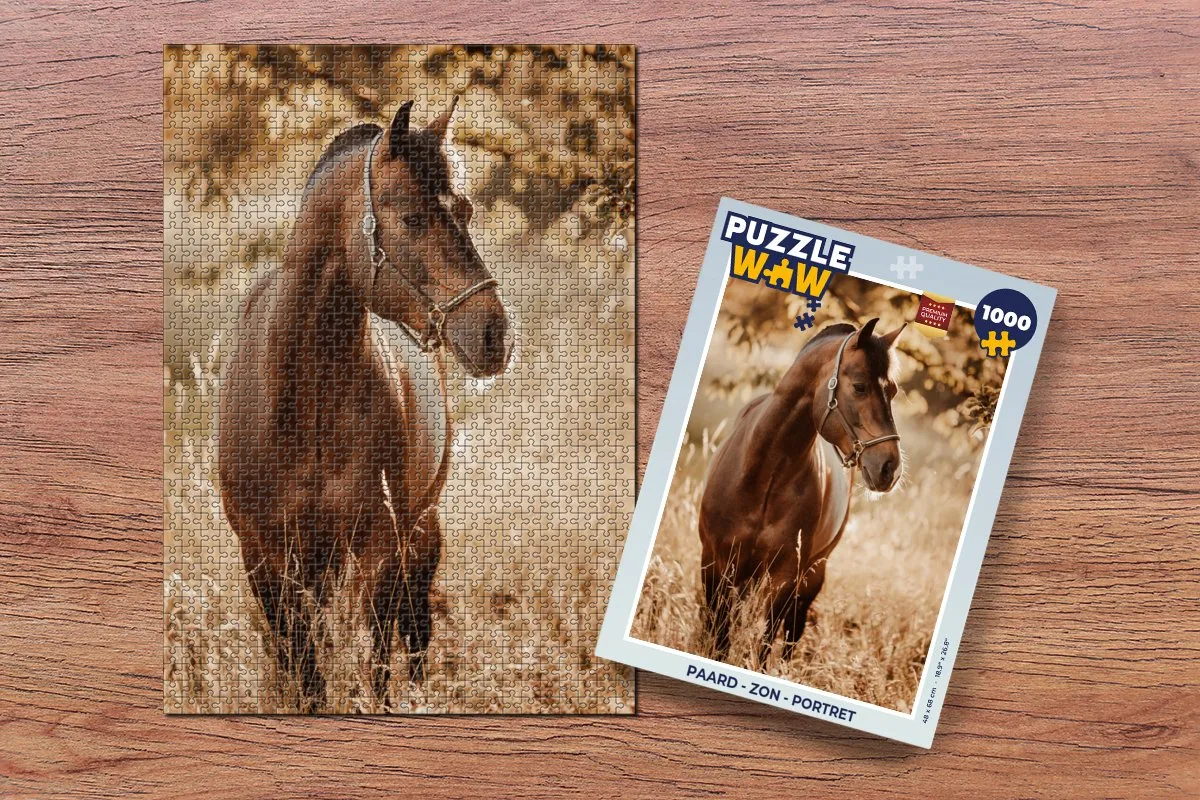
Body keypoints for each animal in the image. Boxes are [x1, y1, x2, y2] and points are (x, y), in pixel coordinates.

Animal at [217, 97, 513, 709]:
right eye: (413, 219)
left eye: (467, 210)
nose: (495, 334)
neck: (305, 403)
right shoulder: (264, 558)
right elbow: (303, 668)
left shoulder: (378, 548)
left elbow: (374, 664)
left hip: (417, 532)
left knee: (416, 630)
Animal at [698, 318, 905, 666]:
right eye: (860, 386)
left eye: (892, 391)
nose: (890, 468)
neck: (762, 476)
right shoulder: (715, 564)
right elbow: (719, 637)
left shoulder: (784, 577)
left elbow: (764, 643)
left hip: (811, 575)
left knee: (792, 631)